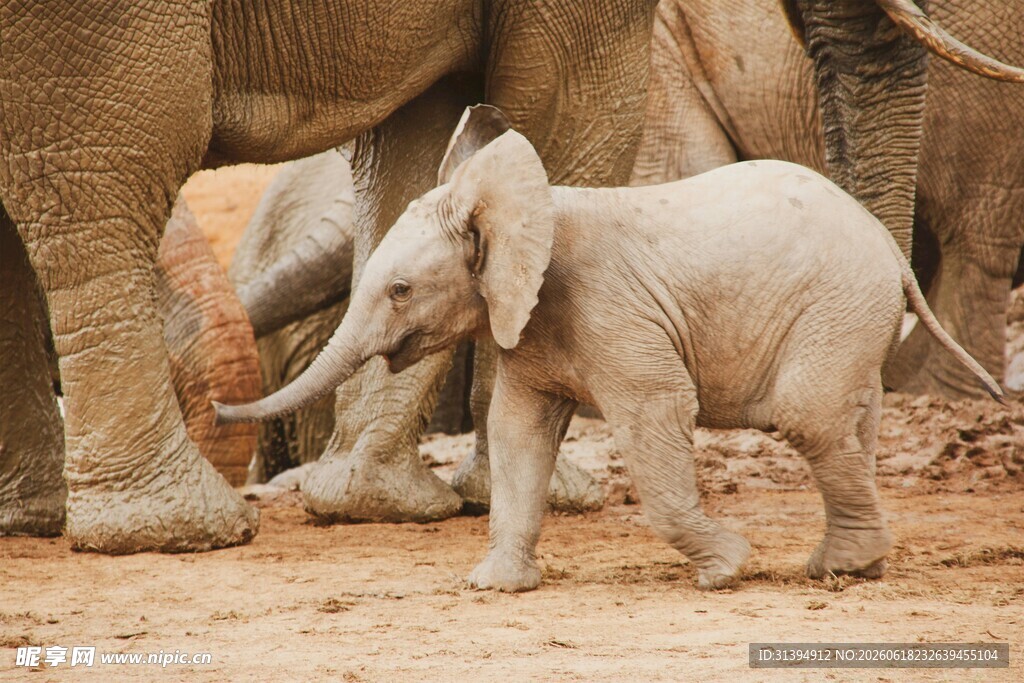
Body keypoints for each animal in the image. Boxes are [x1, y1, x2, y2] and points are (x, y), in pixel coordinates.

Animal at [0, 1, 657, 550]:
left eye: (402, 291)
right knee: (110, 170)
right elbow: (565, 112)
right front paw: (557, 496)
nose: (216, 408)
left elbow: (416, 141)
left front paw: (371, 501)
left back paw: (36, 521)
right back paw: (176, 532)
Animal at [214, 108, 1001, 591]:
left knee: (809, 417)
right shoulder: (530, 325)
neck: (521, 205)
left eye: (401, 290)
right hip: (852, 317)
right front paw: (495, 587)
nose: (219, 406)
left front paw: (725, 571)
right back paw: (850, 569)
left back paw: (836, 568)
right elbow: (517, 431)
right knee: (850, 422)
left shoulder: (612, 314)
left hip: (837, 304)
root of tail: (890, 249)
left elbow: (657, 414)